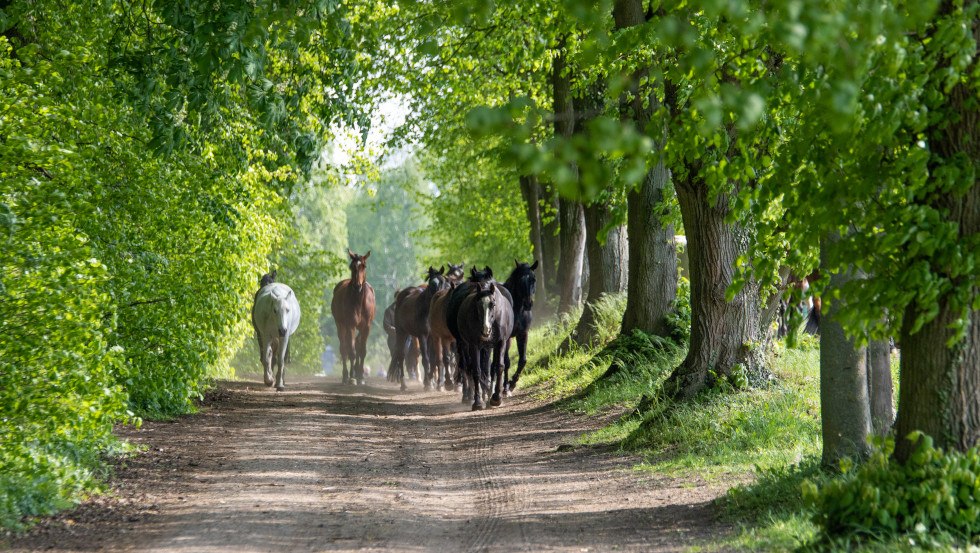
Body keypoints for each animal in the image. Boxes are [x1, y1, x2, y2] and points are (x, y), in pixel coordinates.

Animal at [330, 249, 376, 384]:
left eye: (364, 266)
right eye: (351, 266)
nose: (357, 286)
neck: (359, 302)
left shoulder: (366, 327)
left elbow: (362, 350)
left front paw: (360, 376)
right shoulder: (350, 325)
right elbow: (351, 351)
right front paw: (351, 377)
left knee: (358, 344)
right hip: (340, 325)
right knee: (344, 348)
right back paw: (346, 375)